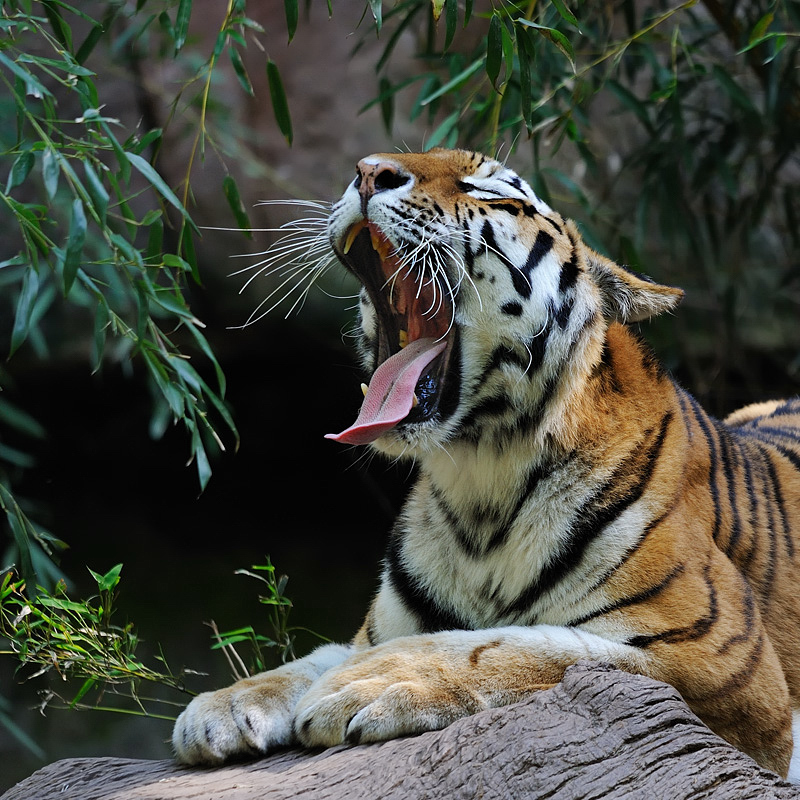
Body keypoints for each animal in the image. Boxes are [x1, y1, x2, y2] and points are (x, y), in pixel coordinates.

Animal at [172, 148, 800, 779]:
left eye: (490, 193)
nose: (369, 171)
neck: (480, 482)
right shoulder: (377, 626)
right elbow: (315, 656)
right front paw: (223, 705)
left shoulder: (726, 668)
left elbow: (528, 645)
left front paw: (372, 679)